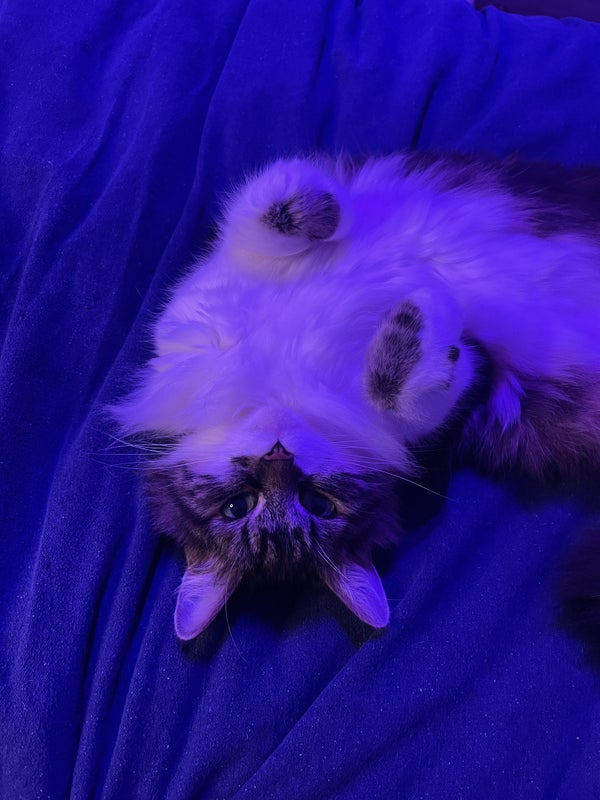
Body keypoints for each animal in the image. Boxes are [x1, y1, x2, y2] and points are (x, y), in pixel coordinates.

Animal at [113, 152, 600, 642]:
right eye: (238, 507)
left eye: (317, 503)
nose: (277, 455)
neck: (279, 383)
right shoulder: (469, 394)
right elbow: (405, 389)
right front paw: (417, 325)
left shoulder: (207, 299)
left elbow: (260, 220)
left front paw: (317, 210)